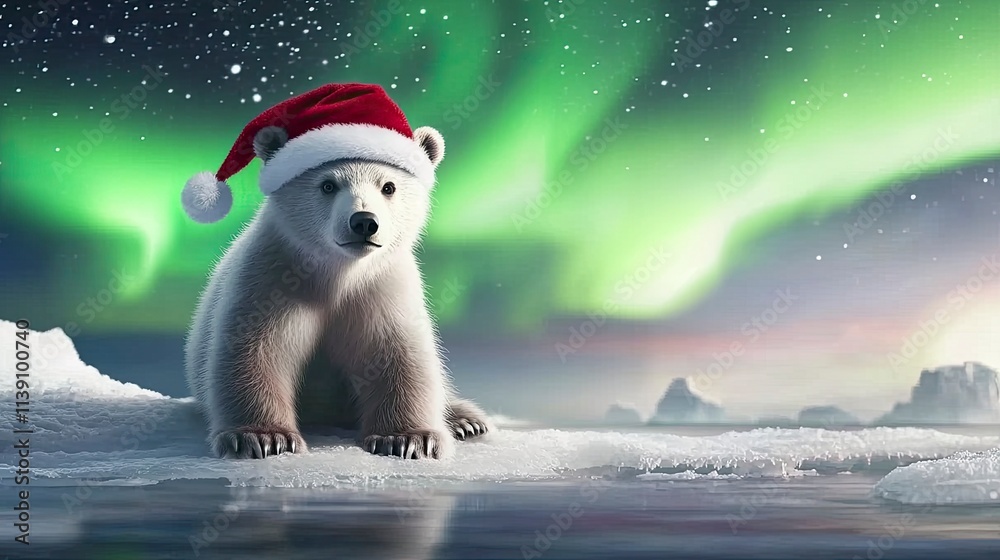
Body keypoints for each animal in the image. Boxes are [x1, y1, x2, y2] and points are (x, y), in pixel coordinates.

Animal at [183, 123, 491, 460]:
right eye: (328, 185)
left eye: (388, 186)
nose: (364, 222)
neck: (338, 274)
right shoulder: (270, 278)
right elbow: (255, 349)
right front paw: (263, 437)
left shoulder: (383, 289)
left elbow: (398, 352)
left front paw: (408, 439)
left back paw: (465, 420)